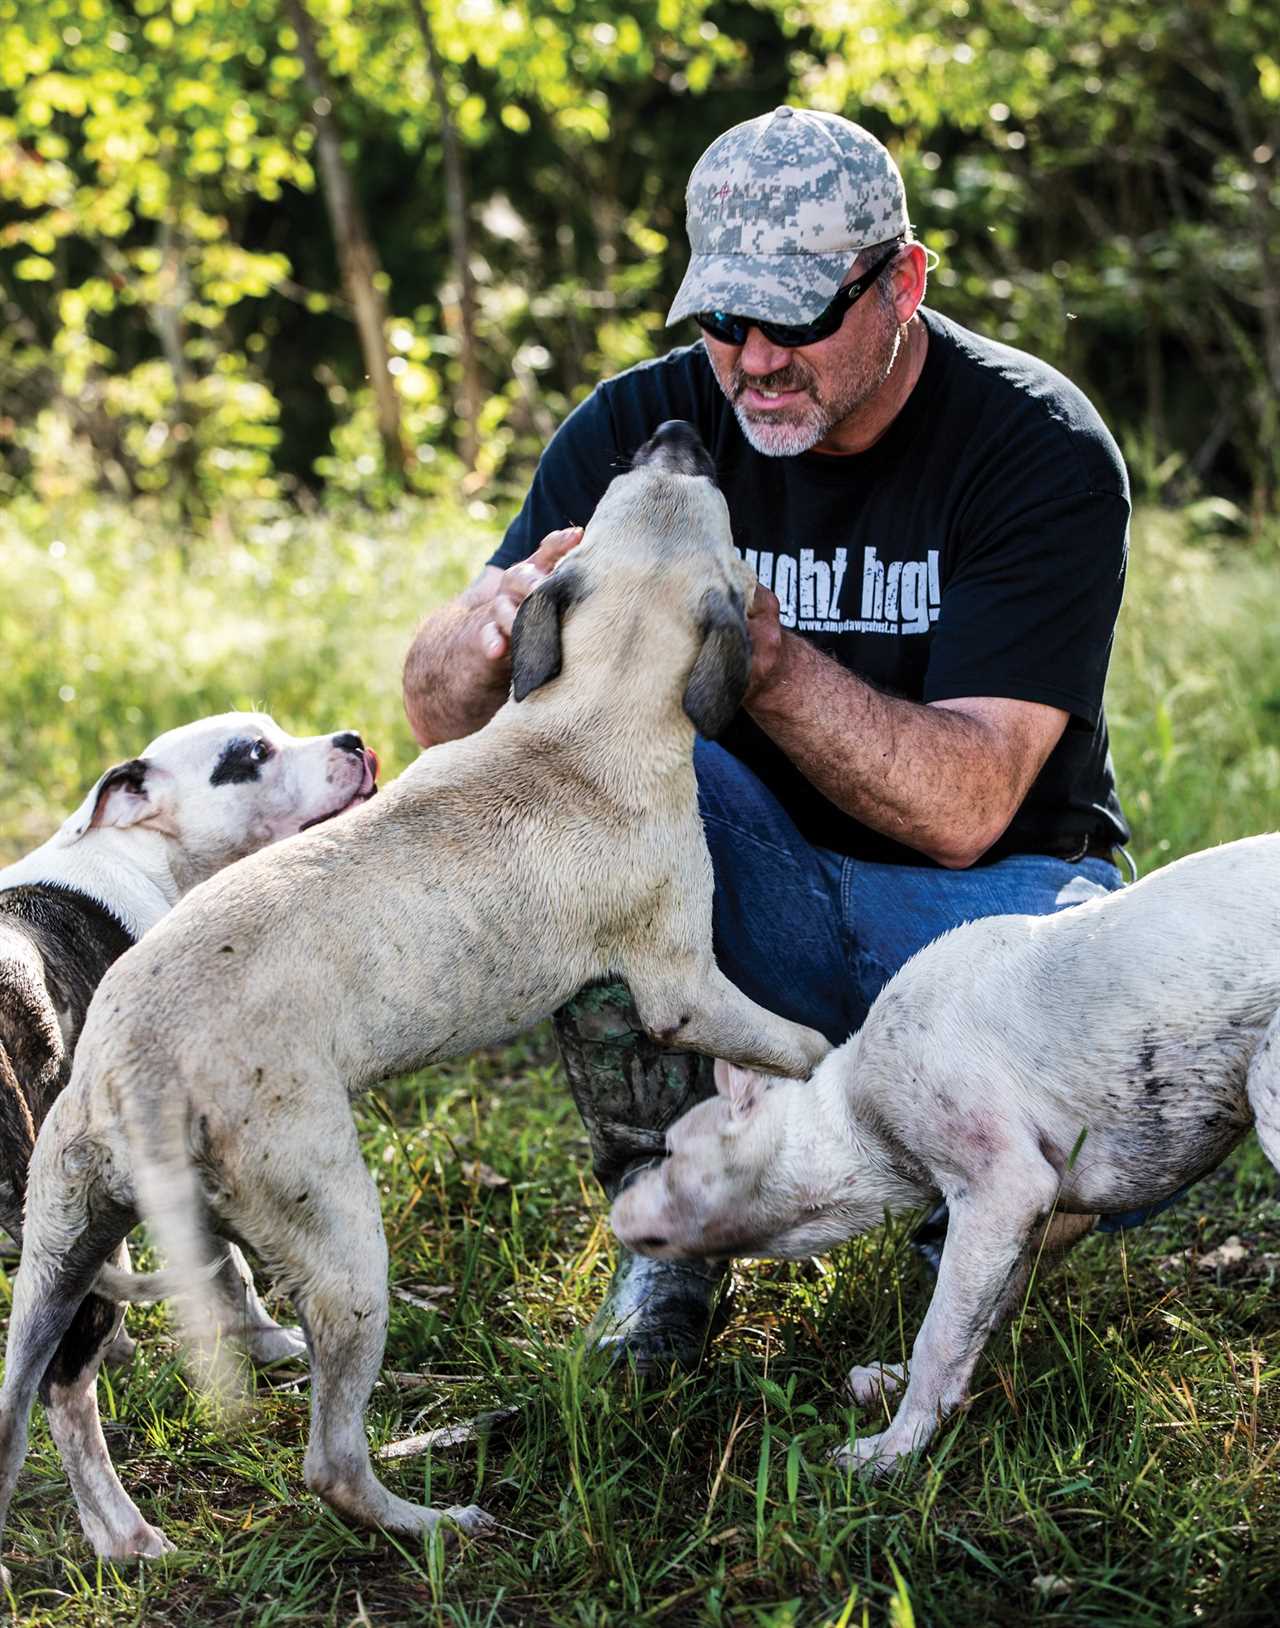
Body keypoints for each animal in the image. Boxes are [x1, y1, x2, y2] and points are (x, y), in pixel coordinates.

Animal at [612, 840, 1280, 1478]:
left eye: (667, 1150)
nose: (612, 1207)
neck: (853, 1117)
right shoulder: (1033, 1216)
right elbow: (973, 1320)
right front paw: (897, 1386)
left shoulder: (1002, 1189)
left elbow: (940, 1331)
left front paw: (891, 1453)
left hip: (1268, 1093)